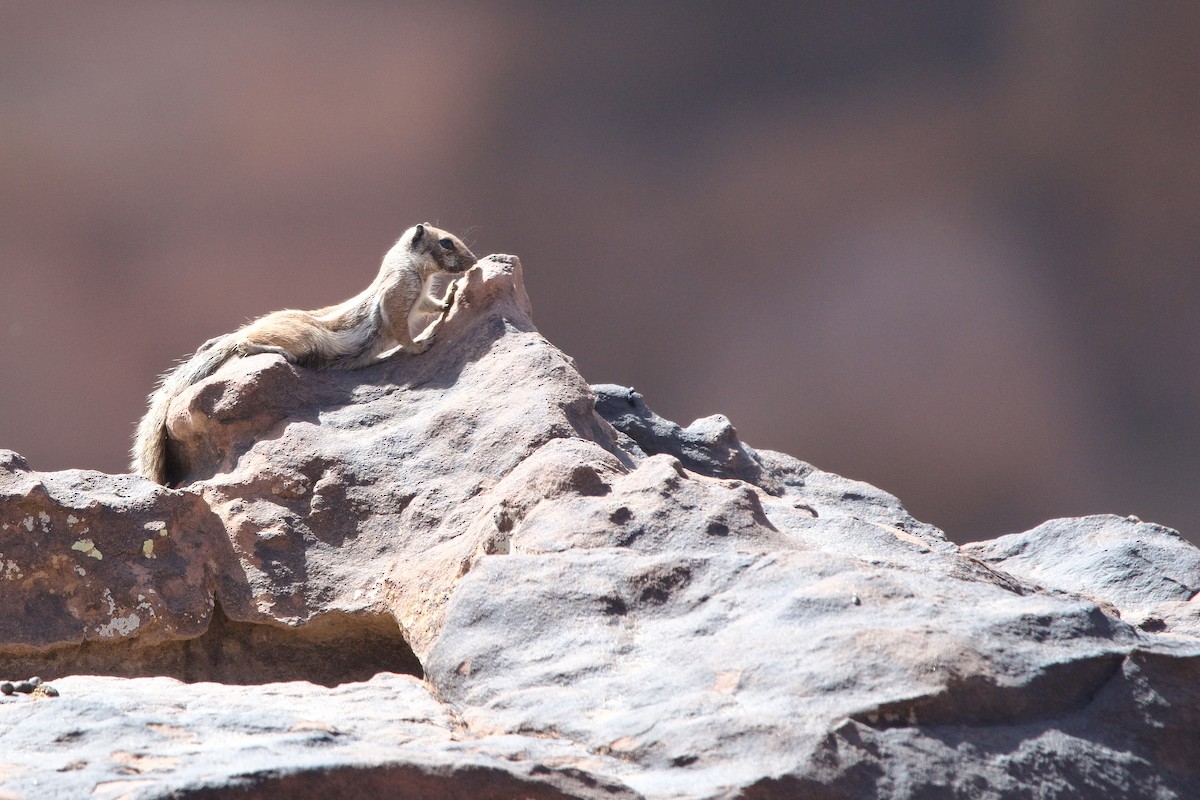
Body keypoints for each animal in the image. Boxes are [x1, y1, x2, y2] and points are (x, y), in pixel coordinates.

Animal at [131, 222, 477, 486]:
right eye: (446, 242)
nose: (474, 261)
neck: (414, 269)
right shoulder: (398, 297)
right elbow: (402, 332)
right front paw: (421, 344)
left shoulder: (420, 298)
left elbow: (431, 305)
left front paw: (449, 297)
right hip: (301, 336)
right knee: (245, 343)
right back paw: (272, 350)